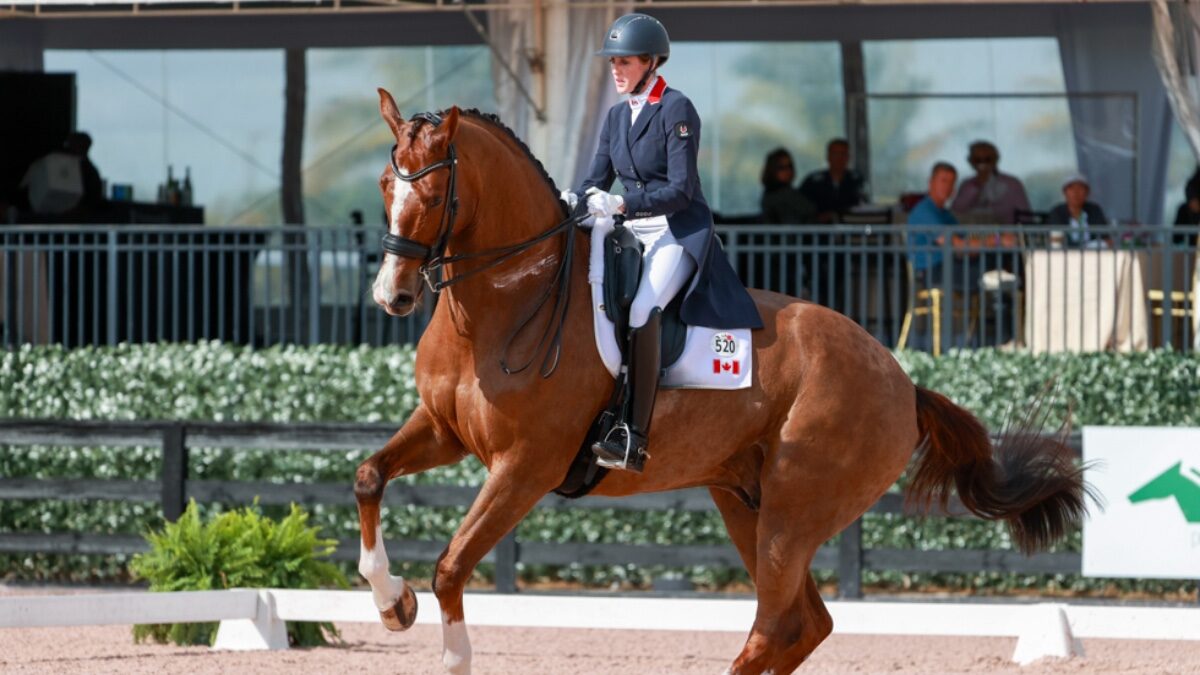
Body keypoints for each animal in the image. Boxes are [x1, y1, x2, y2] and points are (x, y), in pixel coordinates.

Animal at [352, 90, 1089, 672]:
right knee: (803, 625)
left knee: (773, 627)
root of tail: (902, 382)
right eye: (386, 186)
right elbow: (368, 477)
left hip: (794, 513)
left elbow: (452, 564)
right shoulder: (444, 430)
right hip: (744, 499)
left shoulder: (526, 466)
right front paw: (391, 600)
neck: (509, 299)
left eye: (436, 194)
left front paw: (449, 650)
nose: (391, 296)